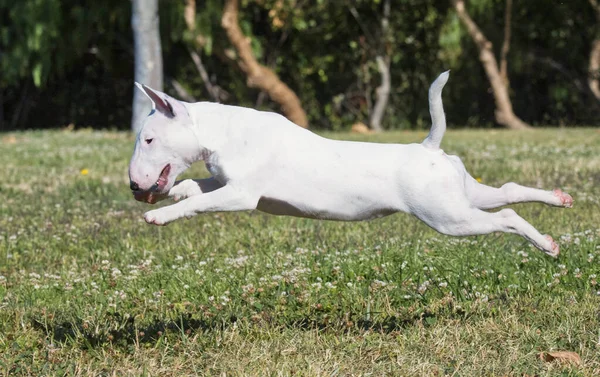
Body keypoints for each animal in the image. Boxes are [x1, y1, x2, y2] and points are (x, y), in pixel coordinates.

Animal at [130, 71, 572, 256]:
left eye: (148, 139)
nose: (135, 187)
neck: (222, 131)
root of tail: (429, 148)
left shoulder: (242, 195)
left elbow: (199, 202)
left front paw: (159, 216)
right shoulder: (228, 183)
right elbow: (197, 187)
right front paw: (175, 191)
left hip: (450, 218)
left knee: (506, 217)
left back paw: (546, 244)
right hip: (462, 196)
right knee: (508, 193)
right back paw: (558, 202)